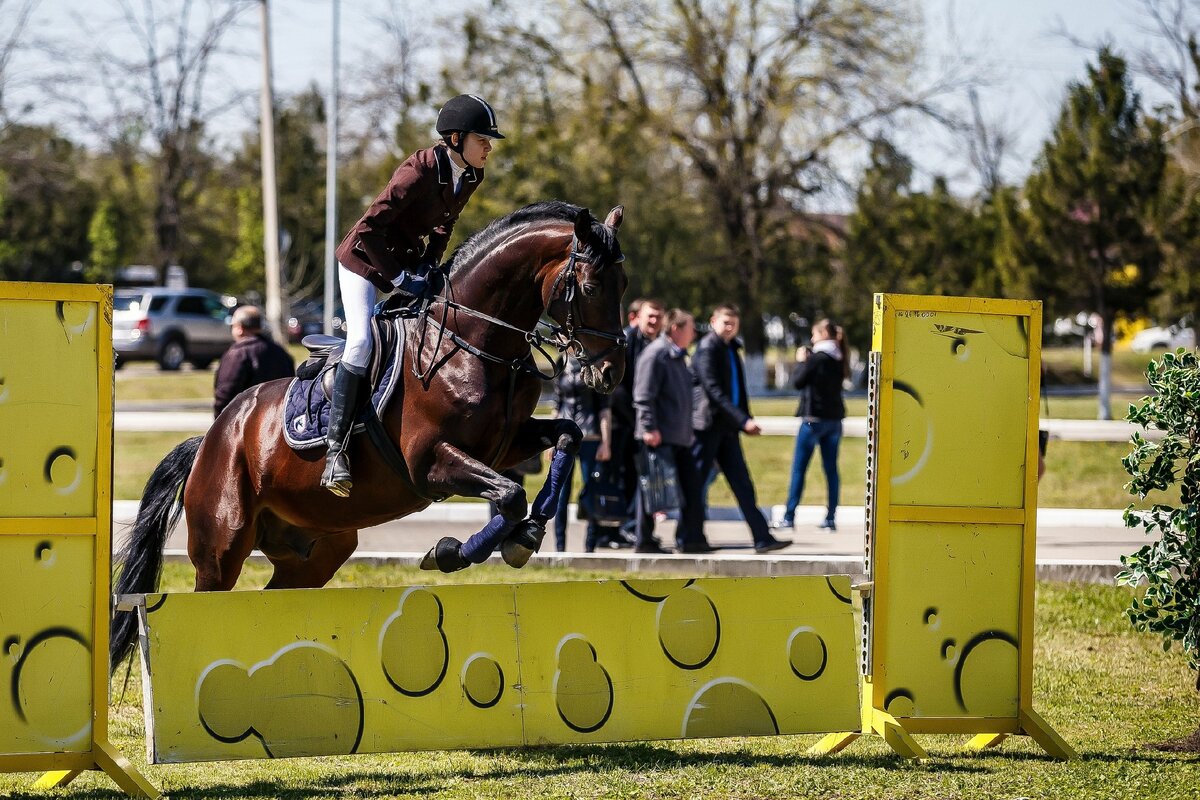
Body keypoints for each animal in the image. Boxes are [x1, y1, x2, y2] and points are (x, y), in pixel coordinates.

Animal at [111, 201, 628, 671]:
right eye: (591, 286)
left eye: (623, 286)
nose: (611, 373)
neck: (473, 343)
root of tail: (210, 440)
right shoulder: (430, 463)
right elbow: (510, 494)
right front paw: (450, 552)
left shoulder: (507, 444)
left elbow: (566, 437)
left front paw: (529, 533)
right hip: (221, 547)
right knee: (211, 591)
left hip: (317, 552)